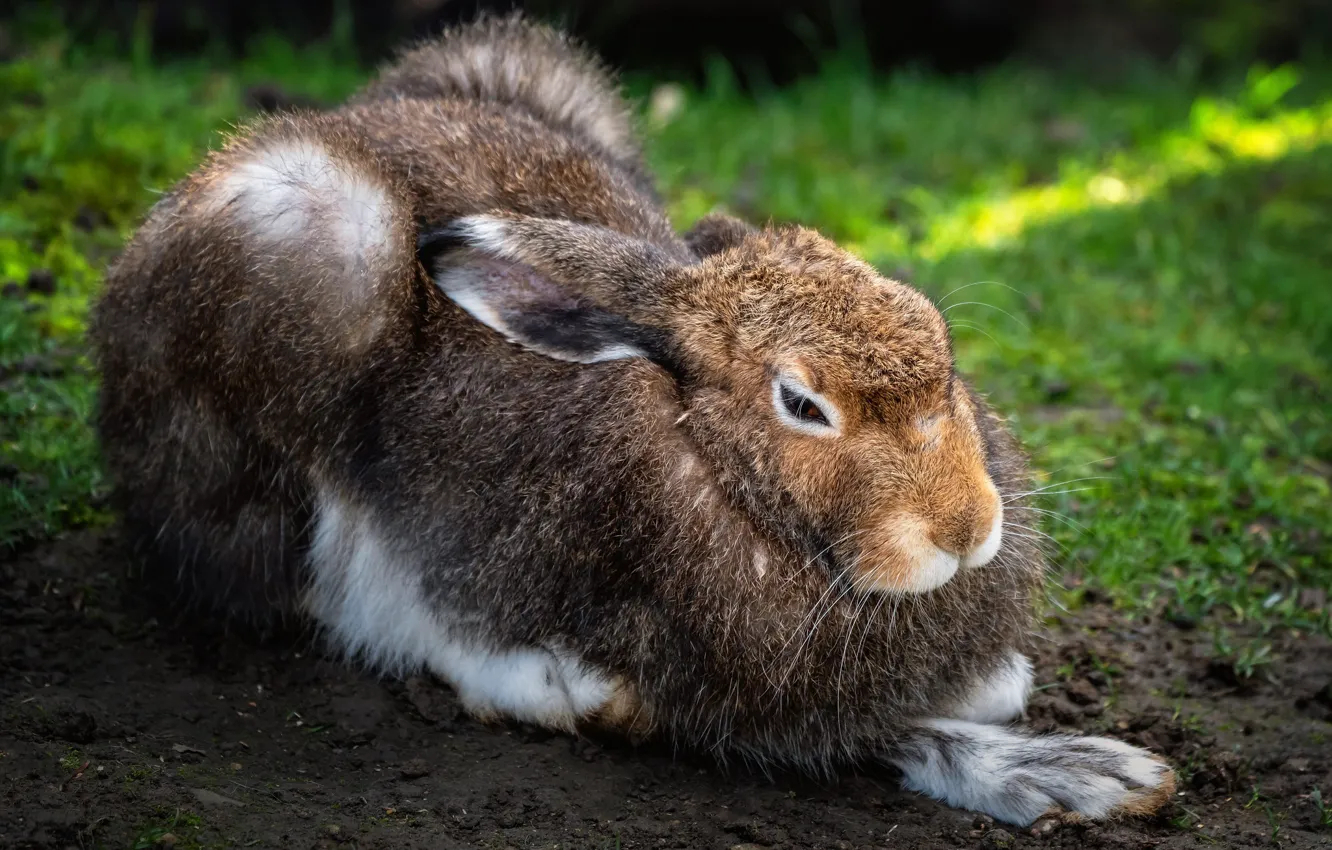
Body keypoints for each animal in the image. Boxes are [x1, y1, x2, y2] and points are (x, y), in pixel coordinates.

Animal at [89, 13, 1176, 827]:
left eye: (942, 351)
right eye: (802, 404)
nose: (965, 530)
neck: (714, 465)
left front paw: (1080, 765)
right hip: (306, 259)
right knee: (282, 581)